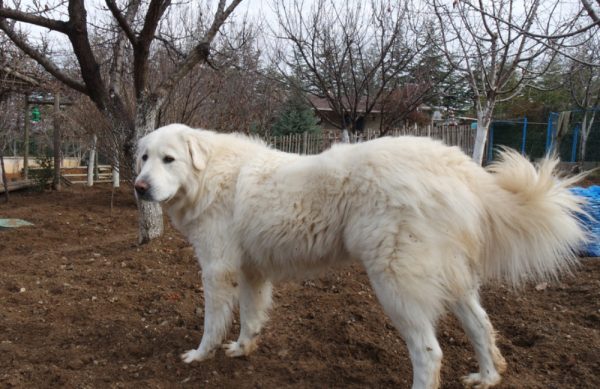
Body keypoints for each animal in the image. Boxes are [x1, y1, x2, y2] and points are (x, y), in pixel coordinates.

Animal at [135, 123, 584, 388]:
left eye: (169, 159)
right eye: (142, 157)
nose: (140, 187)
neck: (208, 174)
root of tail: (456, 165)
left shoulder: (217, 269)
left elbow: (212, 321)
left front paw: (199, 356)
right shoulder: (252, 272)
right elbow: (251, 316)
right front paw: (243, 349)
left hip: (395, 284)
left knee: (429, 353)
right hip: (452, 282)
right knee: (482, 328)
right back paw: (487, 377)